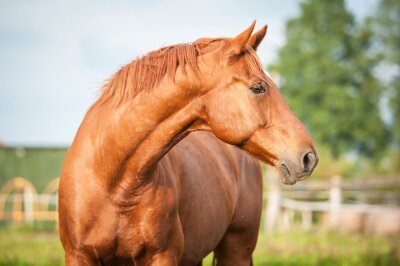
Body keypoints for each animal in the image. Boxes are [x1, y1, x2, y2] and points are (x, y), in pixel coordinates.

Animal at [57, 21, 318, 266]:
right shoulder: (78, 256)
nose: (309, 157)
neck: (113, 182)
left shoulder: (162, 257)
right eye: (258, 87)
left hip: (237, 250)